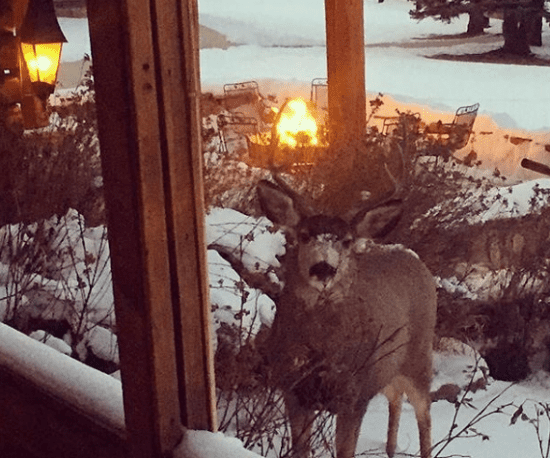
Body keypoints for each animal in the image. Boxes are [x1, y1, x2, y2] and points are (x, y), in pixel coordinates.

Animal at [258, 178, 440, 458]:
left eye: (346, 241)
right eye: (304, 235)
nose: (323, 268)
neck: (321, 352)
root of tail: (413, 256)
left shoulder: (353, 396)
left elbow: (346, 451)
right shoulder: (293, 390)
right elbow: (300, 450)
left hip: (419, 356)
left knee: (425, 413)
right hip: (386, 368)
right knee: (395, 396)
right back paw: (389, 449)